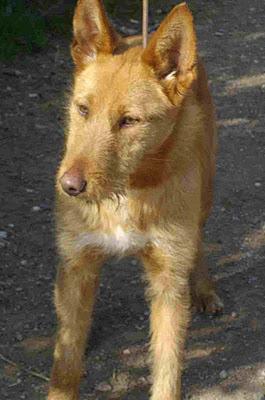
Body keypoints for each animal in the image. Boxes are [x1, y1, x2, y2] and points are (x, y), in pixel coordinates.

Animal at [48, 1, 223, 398]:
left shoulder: (167, 281)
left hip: (204, 195)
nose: (69, 186)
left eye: (129, 121)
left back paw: (204, 289)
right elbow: (66, 363)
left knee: (199, 241)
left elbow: (167, 370)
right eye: (82, 109)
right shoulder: (77, 262)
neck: (127, 190)